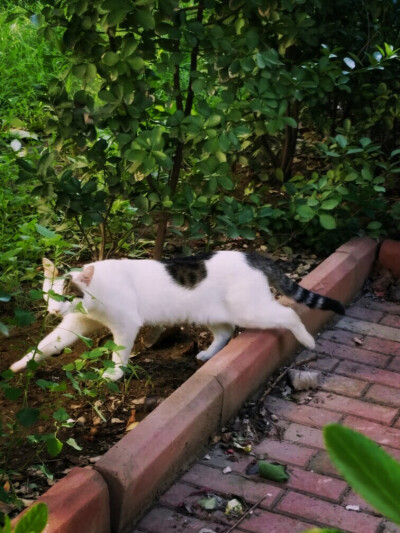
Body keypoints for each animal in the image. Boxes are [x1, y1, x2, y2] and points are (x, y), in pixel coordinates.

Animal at [10, 252, 346, 380]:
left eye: (68, 295)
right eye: (50, 294)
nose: (54, 310)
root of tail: (251, 255)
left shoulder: (125, 324)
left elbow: (119, 353)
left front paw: (115, 374)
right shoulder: (76, 323)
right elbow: (48, 344)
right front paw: (20, 364)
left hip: (252, 311)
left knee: (288, 313)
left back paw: (307, 341)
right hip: (211, 313)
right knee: (225, 332)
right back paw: (208, 354)